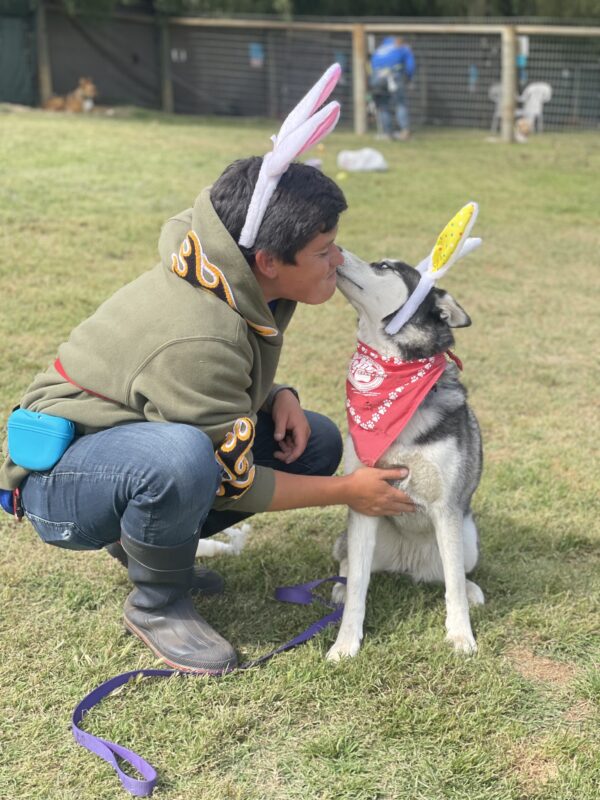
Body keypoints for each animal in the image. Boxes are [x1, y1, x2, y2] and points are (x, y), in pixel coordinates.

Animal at [328, 253, 482, 660]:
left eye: (386, 267)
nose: (337, 251)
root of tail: (407, 564)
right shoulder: (363, 500)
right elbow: (358, 589)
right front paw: (345, 644)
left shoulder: (446, 509)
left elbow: (453, 586)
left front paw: (460, 636)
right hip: (355, 537)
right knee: (350, 565)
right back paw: (339, 585)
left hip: (468, 537)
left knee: (456, 574)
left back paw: (472, 590)